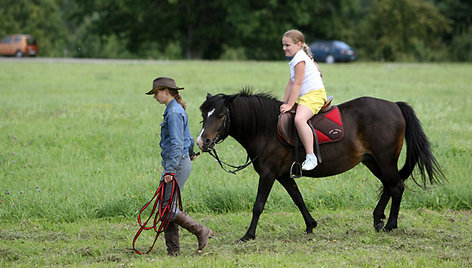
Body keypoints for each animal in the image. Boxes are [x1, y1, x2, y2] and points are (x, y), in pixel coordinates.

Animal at [196, 90, 446, 243]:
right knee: (391, 186)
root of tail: (394, 105)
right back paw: (378, 219)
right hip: (373, 161)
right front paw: (310, 225)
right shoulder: (284, 175)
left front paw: (248, 235)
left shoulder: (268, 174)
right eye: (203, 115)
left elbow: (258, 205)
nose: (202, 141)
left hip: (384, 160)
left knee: (396, 187)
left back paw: (390, 225)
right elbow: (298, 199)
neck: (267, 128)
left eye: (221, 115)